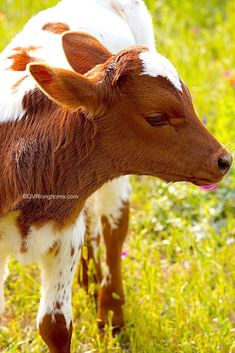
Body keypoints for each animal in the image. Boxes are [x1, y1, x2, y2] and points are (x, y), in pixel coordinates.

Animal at [0, 0, 232, 350]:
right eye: (156, 117)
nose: (224, 160)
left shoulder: (66, 234)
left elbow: (56, 326)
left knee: (113, 226)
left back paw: (110, 310)